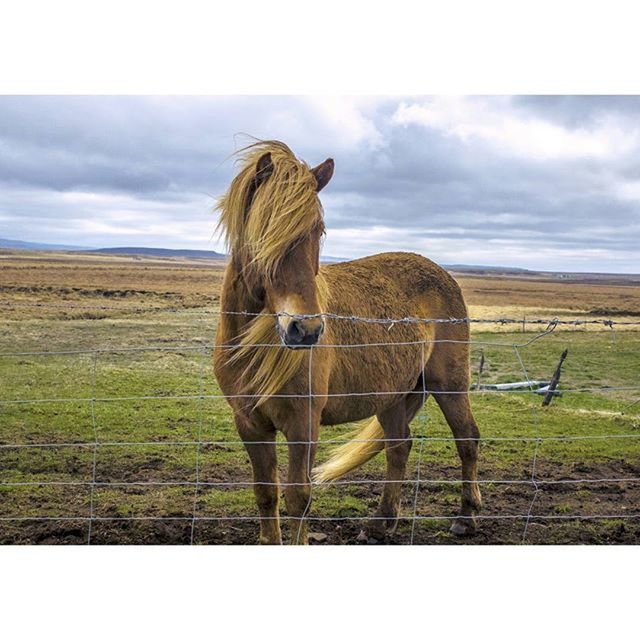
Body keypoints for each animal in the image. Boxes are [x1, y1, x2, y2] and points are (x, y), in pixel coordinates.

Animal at [214, 141, 480, 544]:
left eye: (318, 231)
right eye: (263, 232)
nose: (305, 330)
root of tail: (442, 273)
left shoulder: (303, 425)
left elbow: (298, 497)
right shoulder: (249, 424)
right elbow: (266, 494)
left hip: (448, 384)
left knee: (467, 439)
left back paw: (466, 516)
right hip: (393, 395)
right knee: (399, 445)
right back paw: (382, 521)